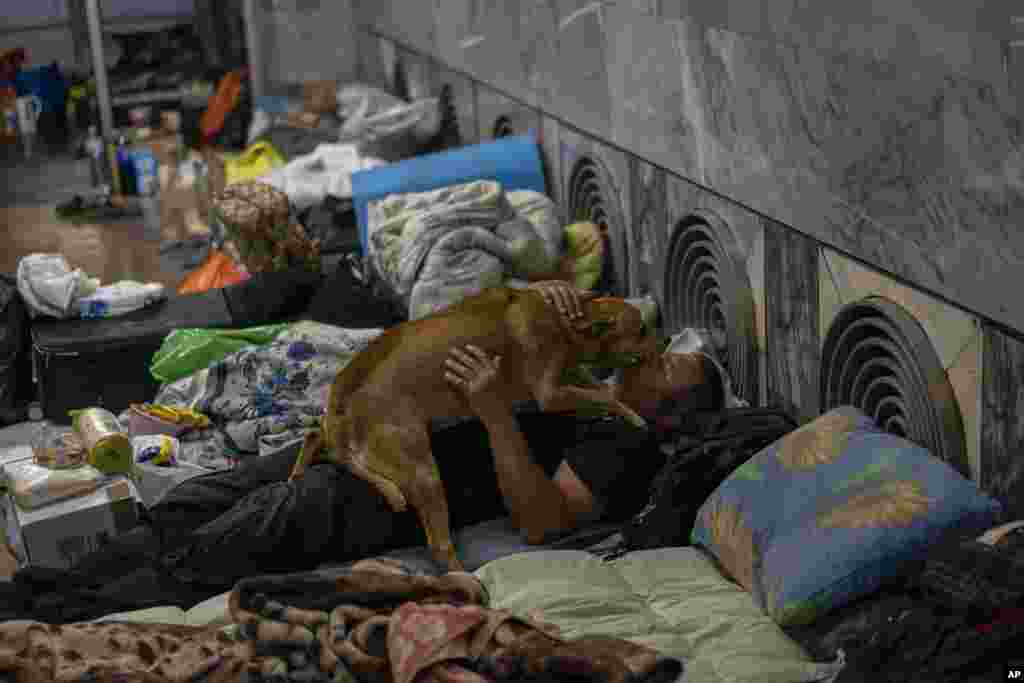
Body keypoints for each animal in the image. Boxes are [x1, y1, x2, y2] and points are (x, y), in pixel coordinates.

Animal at [288, 286, 655, 573]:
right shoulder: (549, 394)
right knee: (439, 547)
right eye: (641, 331)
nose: (663, 341)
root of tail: (346, 409)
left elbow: (597, 386)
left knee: (313, 437)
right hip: (425, 474)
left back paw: (297, 473)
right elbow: (605, 394)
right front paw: (633, 415)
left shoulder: (567, 377)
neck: (561, 323)